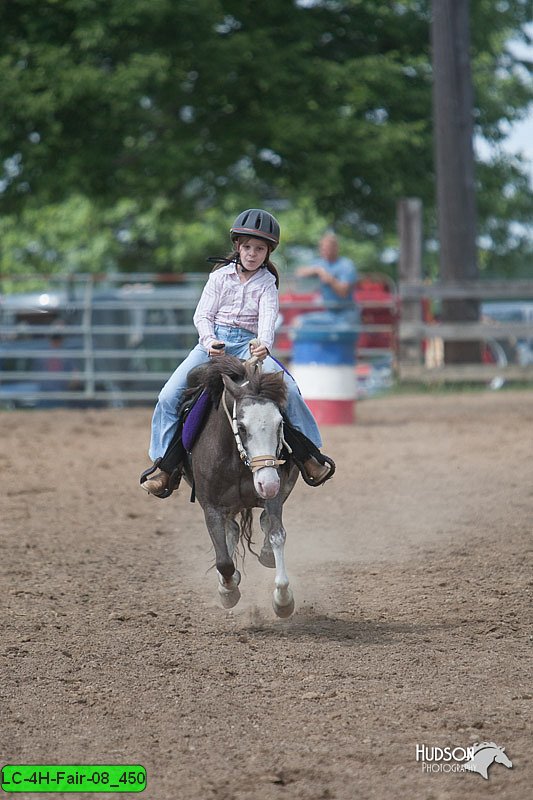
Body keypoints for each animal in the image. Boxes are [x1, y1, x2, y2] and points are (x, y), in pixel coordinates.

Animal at [183, 354, 300, 616]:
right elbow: (224, 560)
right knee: (232, 531)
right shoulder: (211, 507)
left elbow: (278, 534)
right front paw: (228, 591)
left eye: (280, 423)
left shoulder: (275, 494)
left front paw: (283, 600)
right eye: (243, 427)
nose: (267, 483)